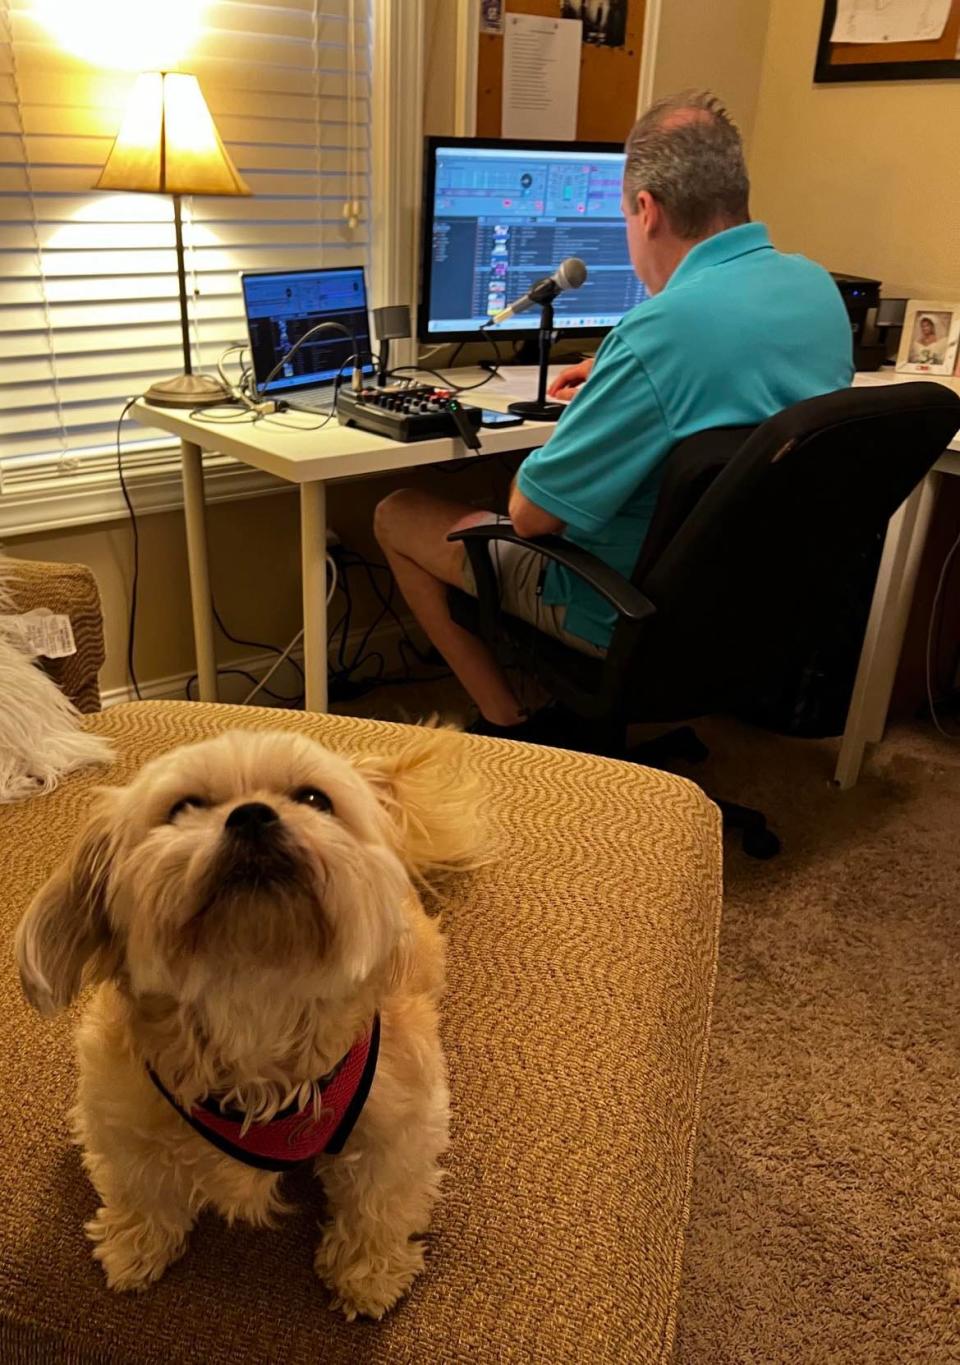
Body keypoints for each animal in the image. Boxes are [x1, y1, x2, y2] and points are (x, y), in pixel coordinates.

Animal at [15, 731, 480, 1315]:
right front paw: (134, 1245)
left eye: (314, 799)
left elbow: (378, 1201)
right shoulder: (119, 1112)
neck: (252, 992)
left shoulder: (399, 1123)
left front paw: (367, 1273)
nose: (253, 815)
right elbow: (140, 1185)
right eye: (184, 807)